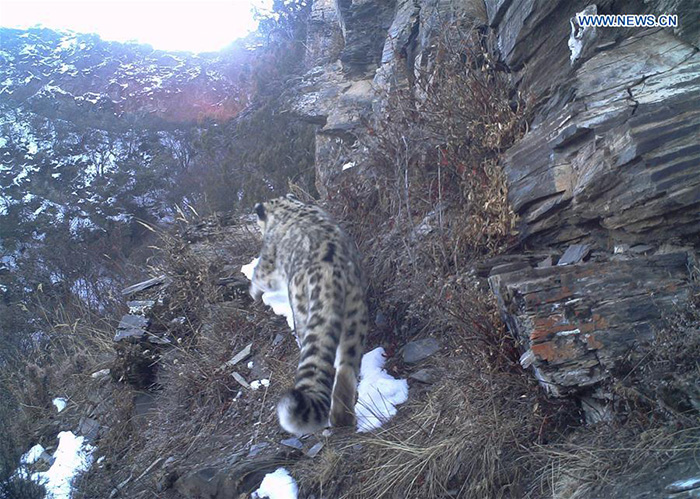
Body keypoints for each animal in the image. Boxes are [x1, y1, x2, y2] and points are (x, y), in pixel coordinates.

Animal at [252, 193, 372, 436]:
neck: (288, 207)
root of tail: (330, 278)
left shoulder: (268, 261)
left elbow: (258, 276)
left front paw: (252, 291)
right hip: (355, 317)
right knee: (346, 368)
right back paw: (342, 419)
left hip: (302, 313)